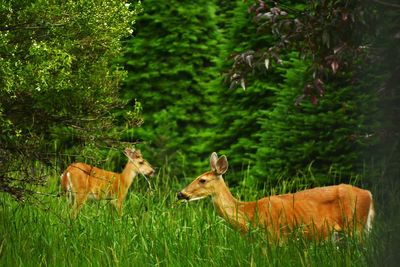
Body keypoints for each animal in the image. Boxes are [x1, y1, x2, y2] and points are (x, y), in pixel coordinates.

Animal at [178, 152, 376, 242]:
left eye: (202, 180)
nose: (180, 193)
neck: (249, 213)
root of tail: (369, 194)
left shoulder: (276, 236)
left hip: (356, 226)